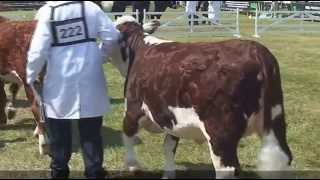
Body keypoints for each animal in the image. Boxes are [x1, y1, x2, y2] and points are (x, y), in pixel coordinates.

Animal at [113, 16, 292, 179]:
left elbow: (127, 137)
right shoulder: (170, 118)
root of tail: (257, 50)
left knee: (227, 169)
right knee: (284, 158)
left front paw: (133, 167)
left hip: (220, 132)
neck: (139, 48)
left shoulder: (132, 110)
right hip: (275, 119)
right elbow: (169, 147)